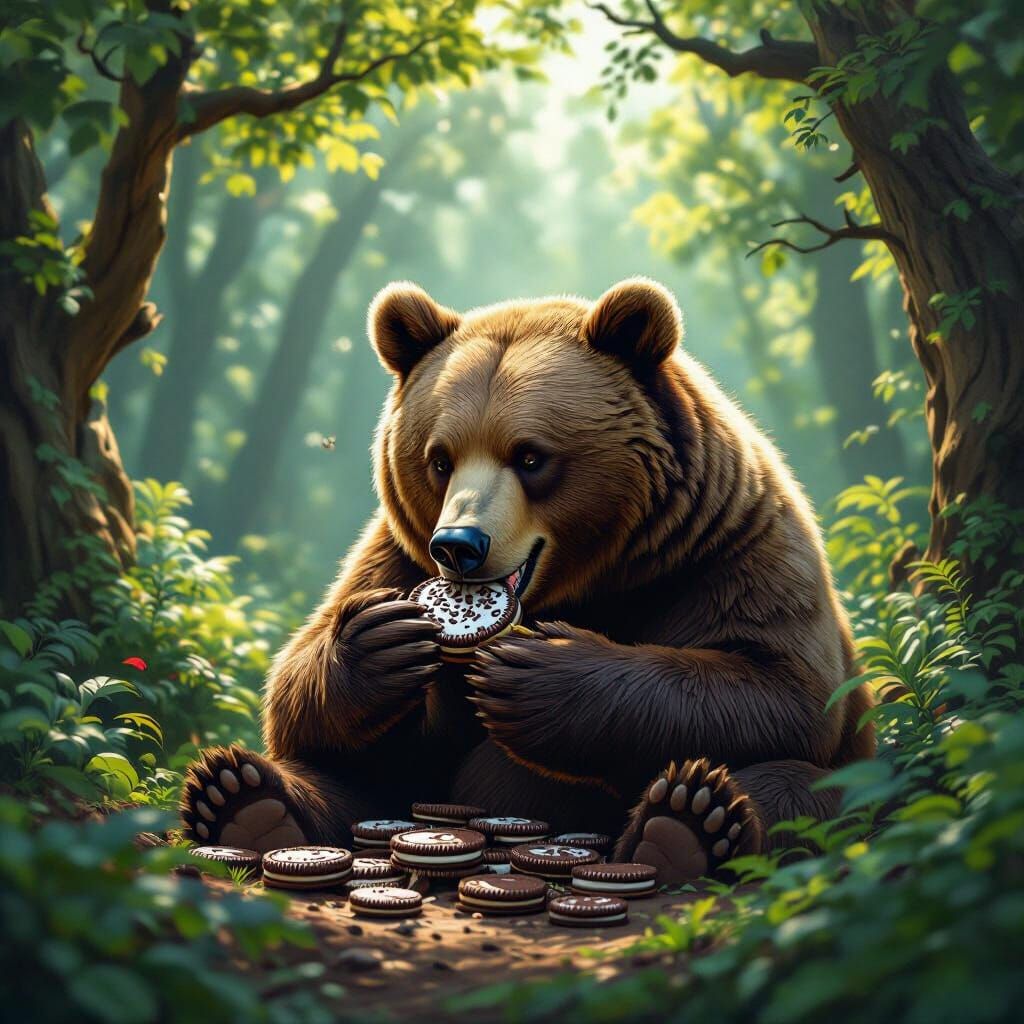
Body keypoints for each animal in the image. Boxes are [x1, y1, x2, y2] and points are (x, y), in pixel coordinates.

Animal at [181, 277, 875, 882]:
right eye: (439, 459)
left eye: (531, 456)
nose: (458, 547)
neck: (595, 579)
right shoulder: (395, 553)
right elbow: (302, 696)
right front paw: (382, 643)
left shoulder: (726, 548)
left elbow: (780, 687)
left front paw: (534, 672)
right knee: (341, 778)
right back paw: (245, 803)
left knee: (797, 788)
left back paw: (687, 825)